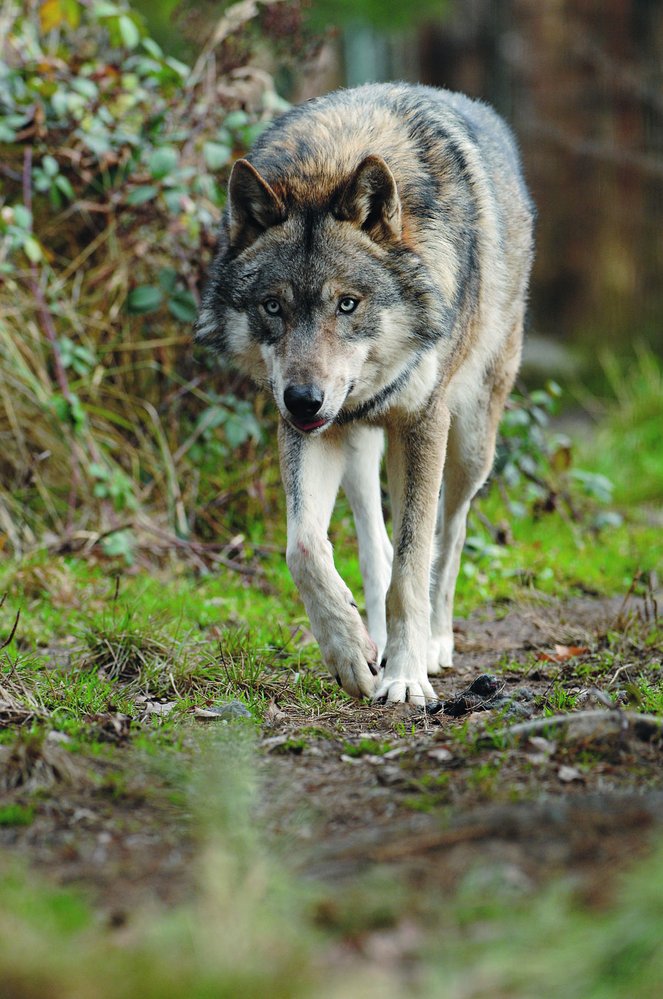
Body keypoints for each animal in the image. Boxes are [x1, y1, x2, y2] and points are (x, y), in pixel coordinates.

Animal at [195, 86, 536, 708]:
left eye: (347, 304)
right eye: (273, 306)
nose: (303, 400)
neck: (334, 159)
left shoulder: (423, 424)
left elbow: (413, 568)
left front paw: (406, 679)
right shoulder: (310, 432)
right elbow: (305, 548)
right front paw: (351, 653)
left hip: (471, 442)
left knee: (450, 536)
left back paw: (436, 643)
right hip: (356, 445)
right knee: (374, 547)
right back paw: (372, 635)